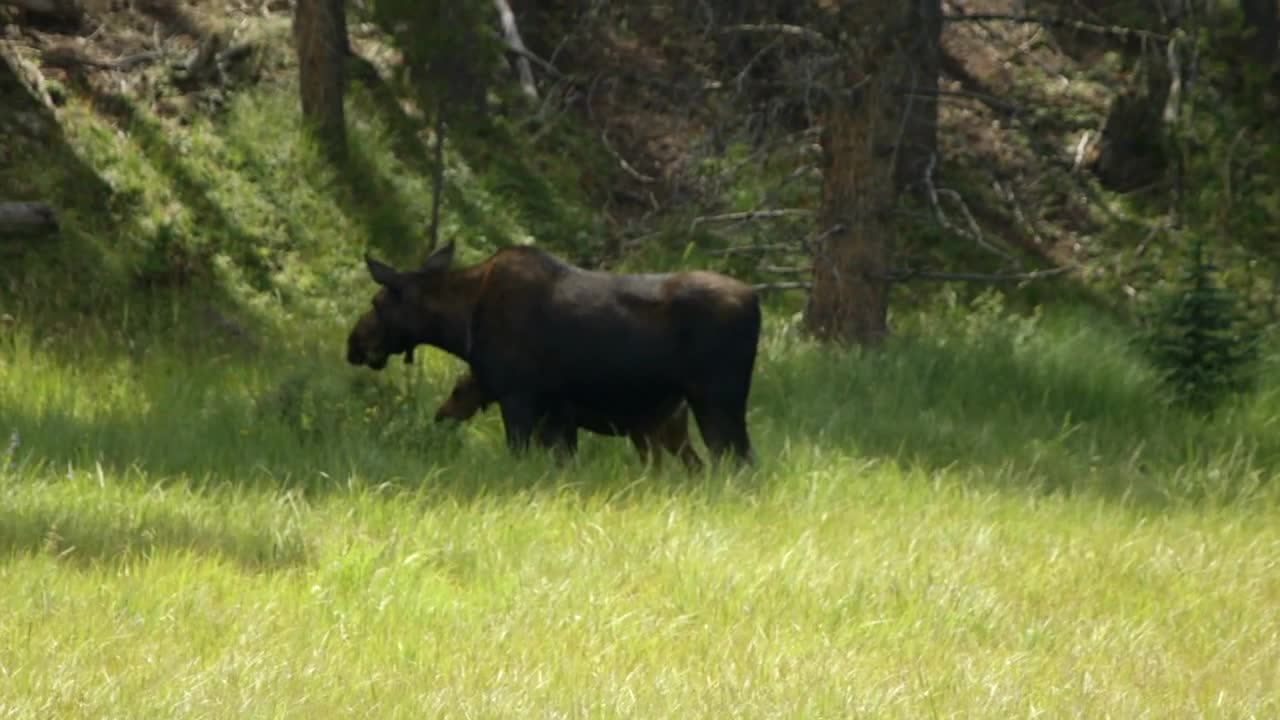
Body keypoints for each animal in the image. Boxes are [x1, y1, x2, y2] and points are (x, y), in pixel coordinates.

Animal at [435, 368, 706, 471]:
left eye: (458, 390)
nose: (440, 414)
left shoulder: (560, 423)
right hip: (665, 435)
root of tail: (683, 404)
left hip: (654, 432)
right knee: (693, 462)